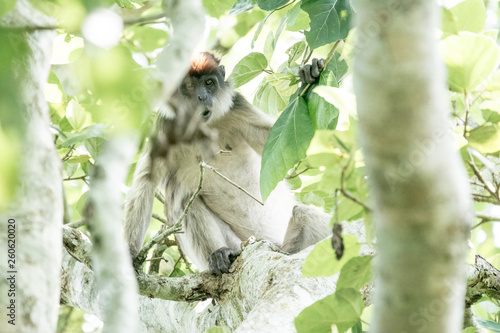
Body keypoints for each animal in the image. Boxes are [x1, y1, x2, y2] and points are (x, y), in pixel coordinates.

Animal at [123, 52, 330, 274]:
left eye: (209, 83)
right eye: (188, 86)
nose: (202, 97)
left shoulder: (237, 106)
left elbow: (283, 146)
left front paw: (309, 79)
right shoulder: (165, 124)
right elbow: (147, 180)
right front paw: (129, 255)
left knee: (302, 214)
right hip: (238, 245)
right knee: (185, 198)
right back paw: (219, 255)